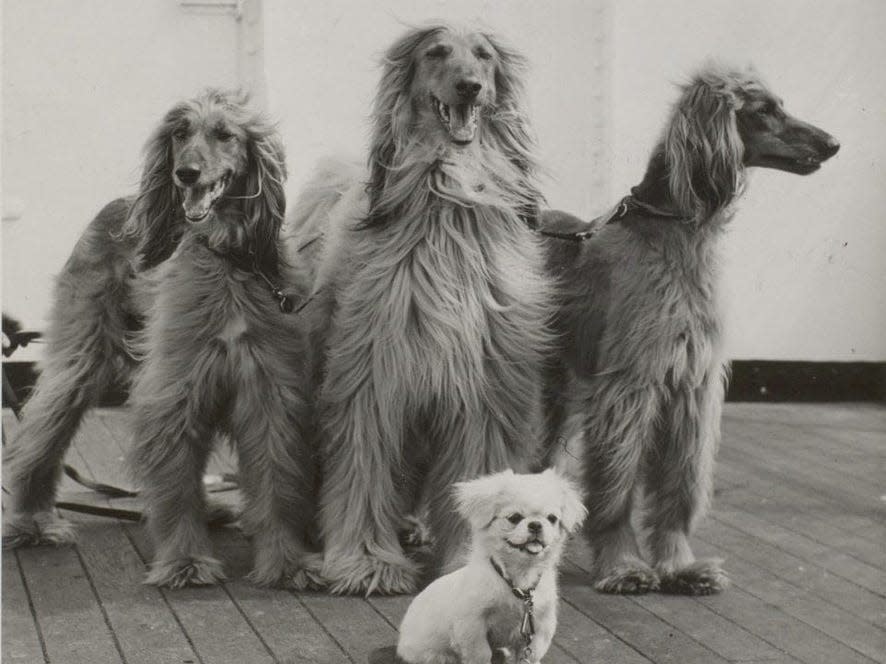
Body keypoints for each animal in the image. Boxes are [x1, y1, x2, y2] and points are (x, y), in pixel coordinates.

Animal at [398, 470, 588, 660]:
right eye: (514, 518)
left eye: (552, 518)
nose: (535, 524)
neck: (519, 580)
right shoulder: (472, 624)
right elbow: (481, 654)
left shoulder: (540, 626)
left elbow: (531, 654)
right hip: (433, 654)